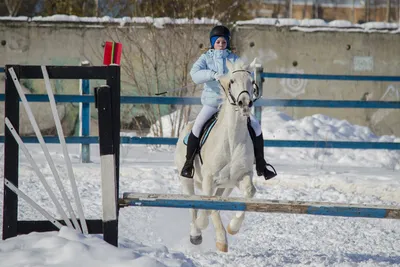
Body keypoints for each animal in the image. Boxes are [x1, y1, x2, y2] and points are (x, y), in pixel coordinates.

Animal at [175, 59, 260, 253]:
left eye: (251, 82)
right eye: (232, 81)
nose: (245, 103)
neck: (232, 140)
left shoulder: (242, 176)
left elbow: (249, 193)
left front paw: (233, 228)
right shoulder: (209, 178)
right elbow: (207, 206)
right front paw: (213, 234)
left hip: (226, 186)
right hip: (187, 180)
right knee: (192, 205)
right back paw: (196, 234)